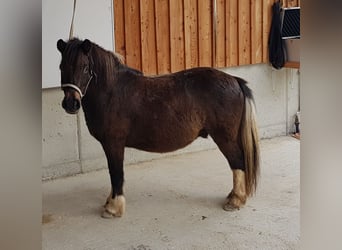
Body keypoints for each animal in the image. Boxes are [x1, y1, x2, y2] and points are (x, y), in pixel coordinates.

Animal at [56, 38, 260, 218]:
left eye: (85, 67)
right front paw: (110, 203)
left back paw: (235, 200)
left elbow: (116, 173)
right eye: (61, 67)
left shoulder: (114, 143)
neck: (112, 92)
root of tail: (234, 80)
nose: (71, 104)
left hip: (225, 138)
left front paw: (113, 209)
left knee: (237, 162)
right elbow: (113, 173)